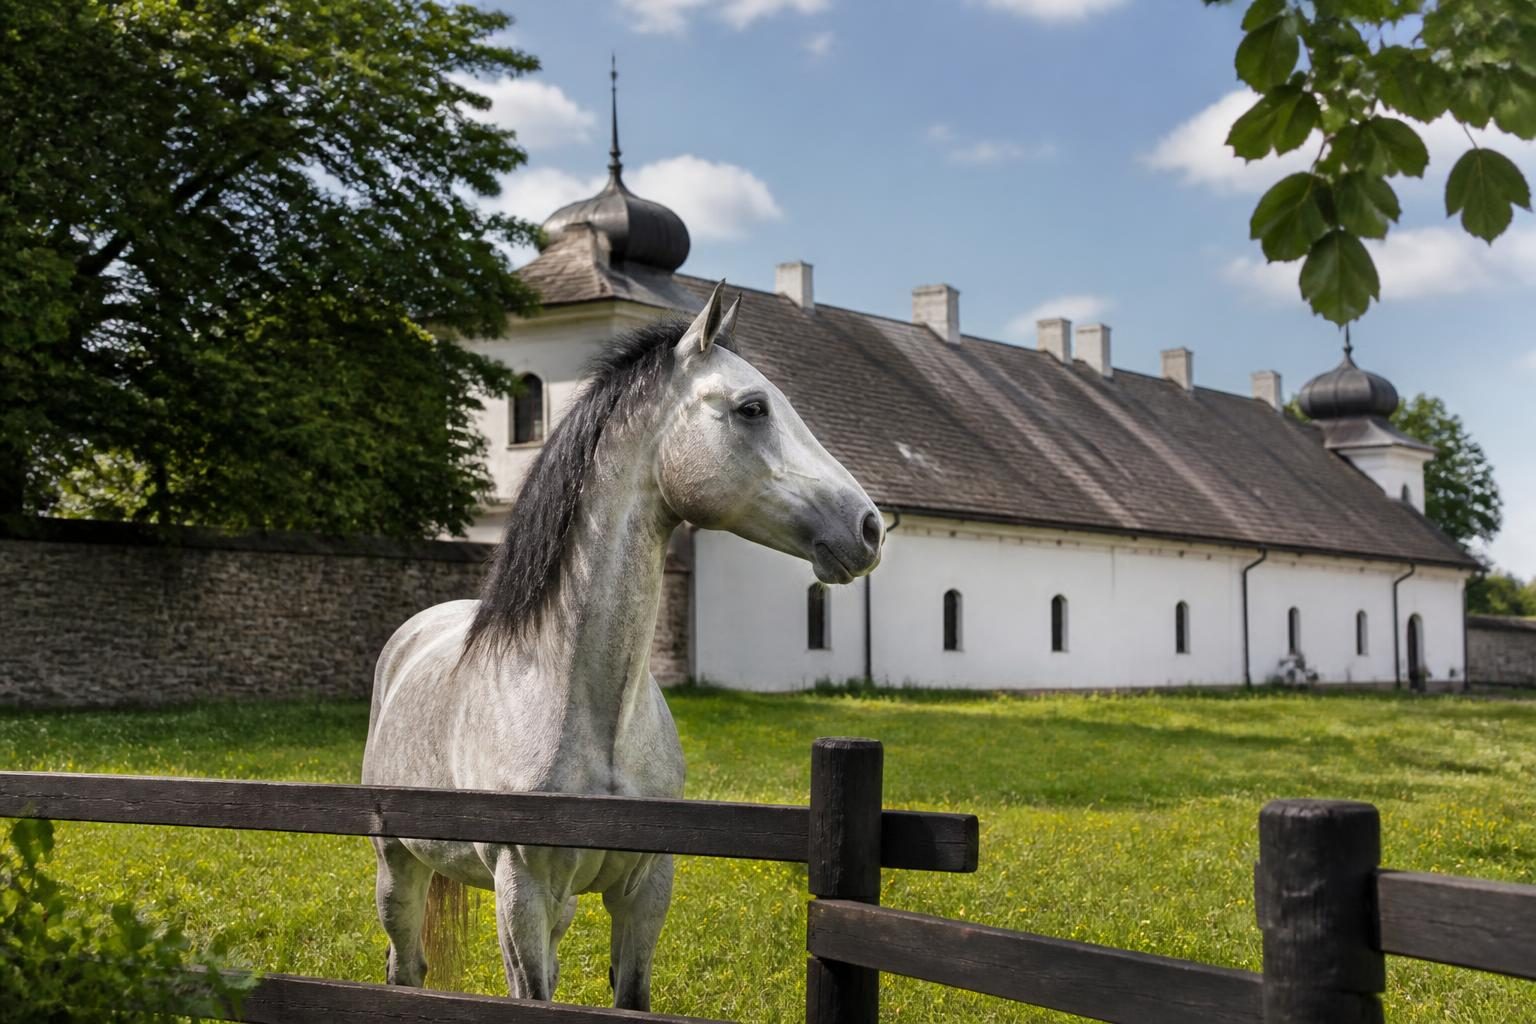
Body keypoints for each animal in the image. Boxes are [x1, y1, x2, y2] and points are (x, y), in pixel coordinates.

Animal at [360, 281, 884, 1011]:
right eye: (752, 408)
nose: (869, 527)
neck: (584, 705)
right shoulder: (521, 895)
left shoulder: (645, 889)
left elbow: (630, 997)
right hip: (399, 869)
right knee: (403, 968)